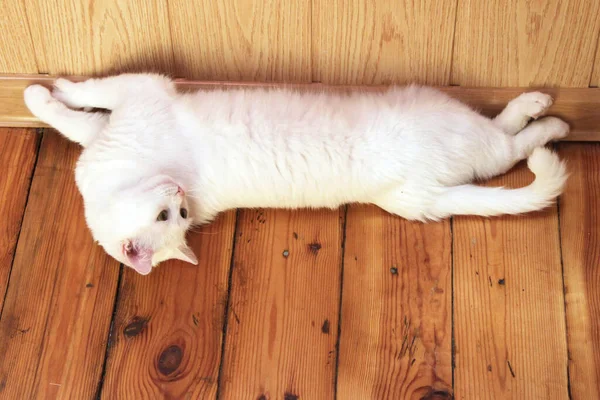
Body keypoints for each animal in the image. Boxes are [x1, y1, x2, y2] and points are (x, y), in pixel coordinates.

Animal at [23, 74, 568, 276]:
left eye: (173, 214)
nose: (178, 193)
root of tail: (426, 197)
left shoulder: (135, 94)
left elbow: (79, 103)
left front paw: (45, 90)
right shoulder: (130, 107)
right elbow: (77, 114)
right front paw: (41, 94)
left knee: (506, 141)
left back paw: (547, 111)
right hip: (453, 132)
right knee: (508, 145)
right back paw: (550, 120)